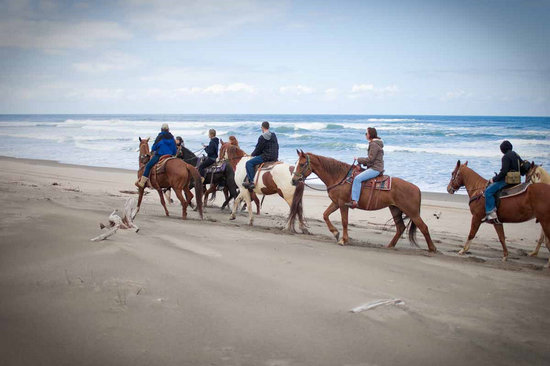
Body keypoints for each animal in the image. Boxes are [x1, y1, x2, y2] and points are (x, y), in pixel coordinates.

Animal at [292, 149, 438, 252]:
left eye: (302, 164)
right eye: (296, 163)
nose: (293, 180)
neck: (340, 177)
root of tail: (417, 188)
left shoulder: (343, 204)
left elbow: (344, 221)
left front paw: (343, 240)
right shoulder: (336, 203)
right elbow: (325, 215)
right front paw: (335, 233)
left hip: (412, 212)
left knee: (423, 227)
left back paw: (432, 249)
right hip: (395, 209)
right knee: (400, 227)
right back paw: (390, 245)